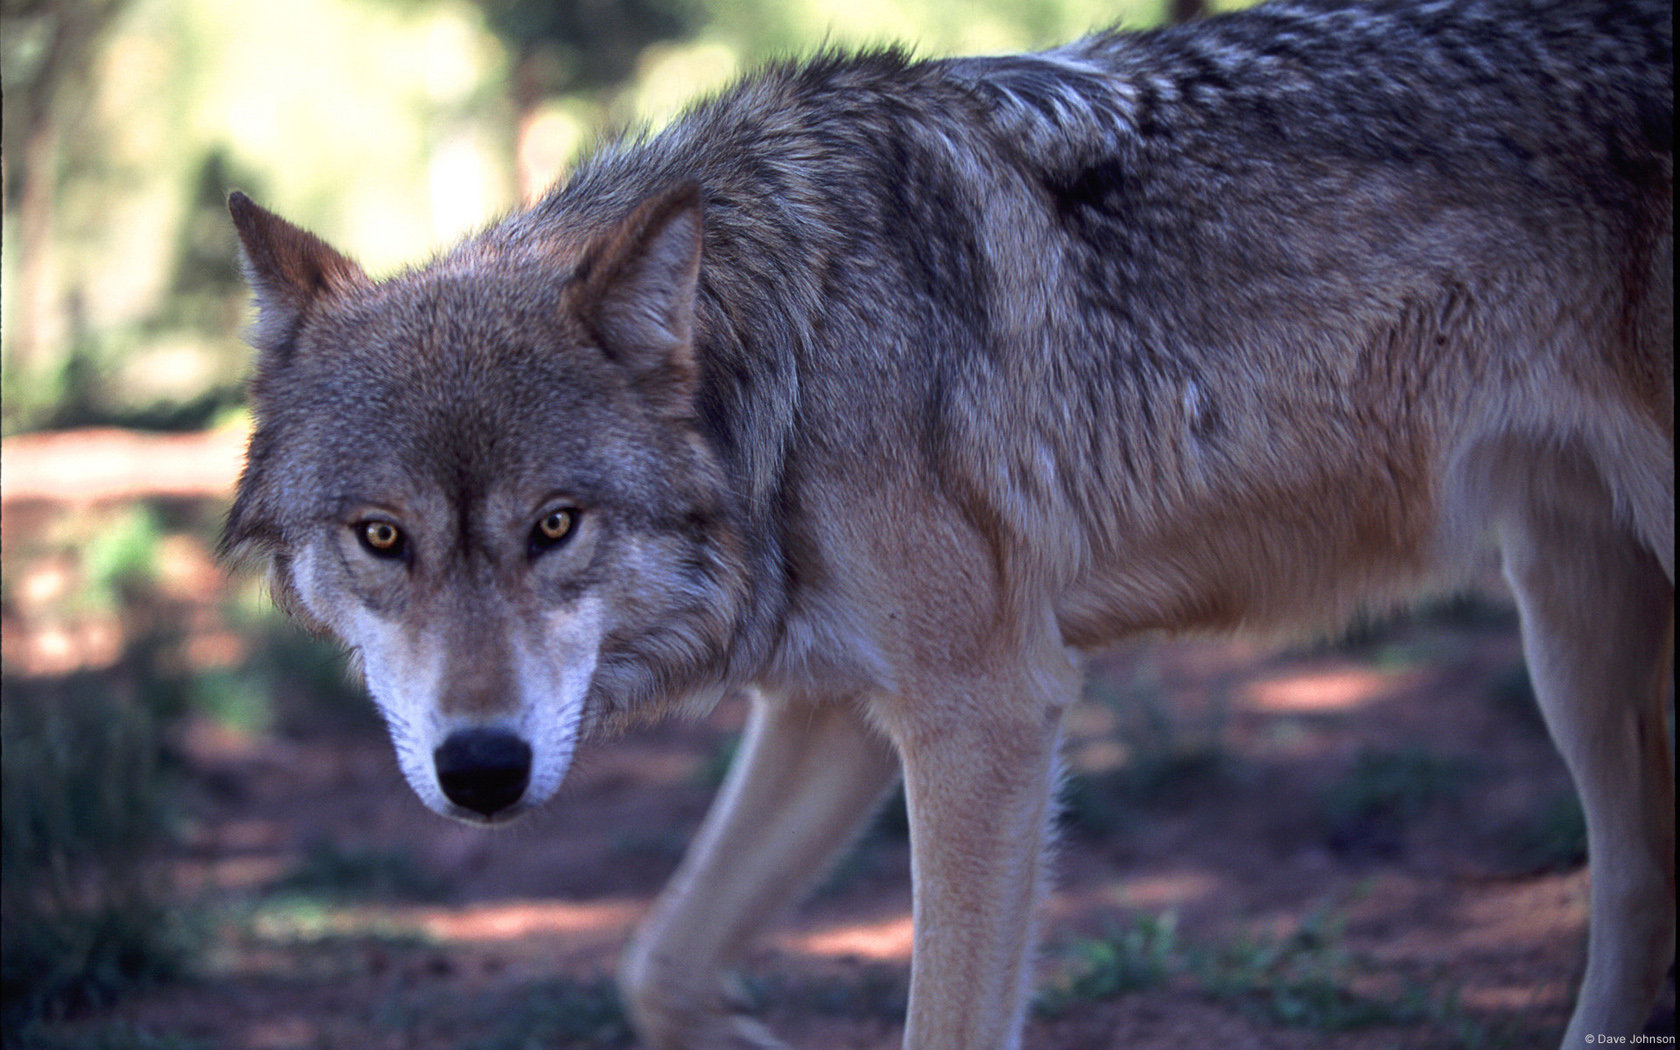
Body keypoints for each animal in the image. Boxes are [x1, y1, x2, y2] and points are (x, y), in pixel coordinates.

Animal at [220, 0, 1666, 1041]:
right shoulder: (829, 709)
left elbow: (945, 1016)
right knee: (1635, 886)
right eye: (382, 536)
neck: (789, 360)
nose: (483, 770)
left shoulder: (986, 715)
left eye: (557, 525)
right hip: (1571, 625)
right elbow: (660, 964)